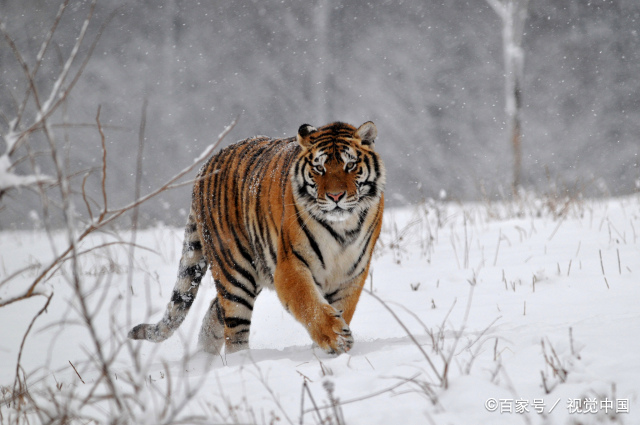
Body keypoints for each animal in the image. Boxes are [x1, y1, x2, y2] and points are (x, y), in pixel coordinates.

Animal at [127, 120, 382, 354]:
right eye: (319, 168)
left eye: (350, 165)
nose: (336, 196)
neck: (342, 228)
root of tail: (204, 169)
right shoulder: (290, 266)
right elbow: (310, 305)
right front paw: (335, 338)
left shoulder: (351, 272)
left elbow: (341, 307)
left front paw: (327, 349)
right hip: (235, 273)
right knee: (234, 332)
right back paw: (240, 364)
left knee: (213, 313)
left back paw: (202, 361)